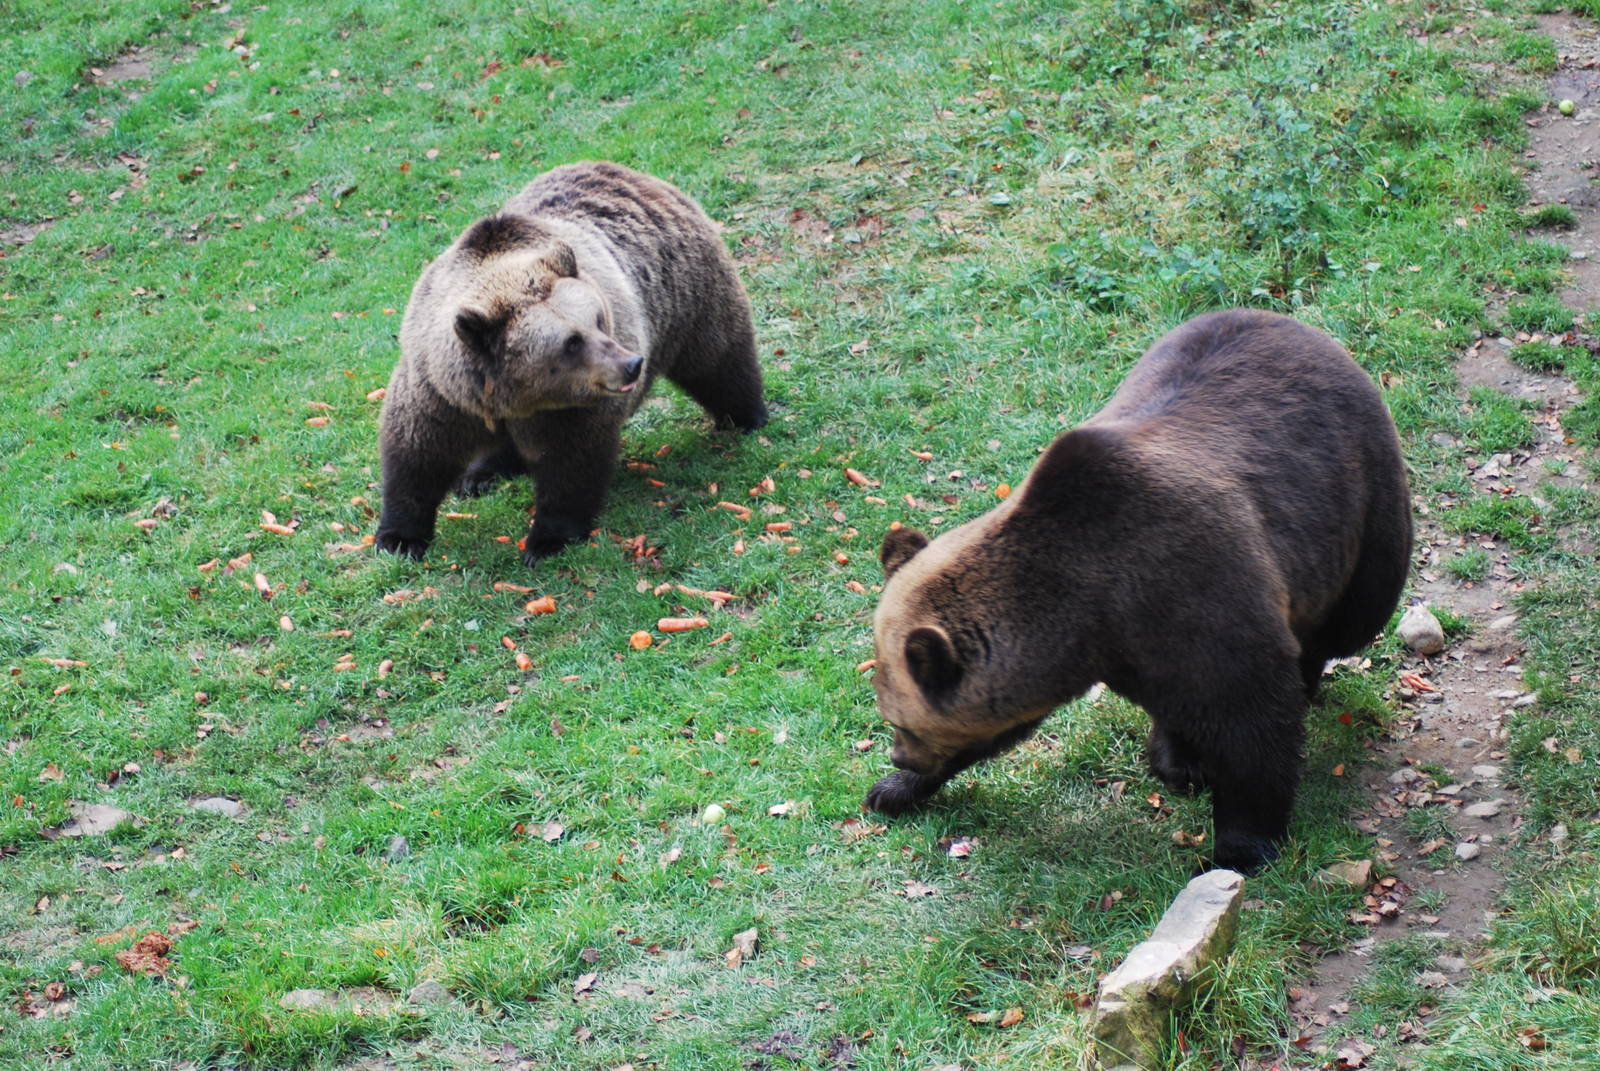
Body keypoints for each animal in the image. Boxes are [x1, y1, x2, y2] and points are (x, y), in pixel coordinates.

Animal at [376, 161, 768, 566]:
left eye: (597, 320)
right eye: (571, 342)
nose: (632, 363)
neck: (515, 396)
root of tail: (628, 172)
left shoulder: (570, 410)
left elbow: (571, 466)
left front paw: (547, 541)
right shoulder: (441, 393)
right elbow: (417, 456)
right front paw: (399, 537)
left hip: (688, 292)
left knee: (718, 359)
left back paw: (745, 416)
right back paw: (481, 474)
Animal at [864, 309, 1412, 872]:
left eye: (901, 721)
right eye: (889, 713)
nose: (900, 754)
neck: (1087, 613)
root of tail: (1296, 325)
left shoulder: (1193, 588)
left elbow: (1251, 723)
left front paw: (1242, 845)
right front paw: (893, 790)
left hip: (1361, 504)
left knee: (1350, 618)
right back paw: (1177, 757)